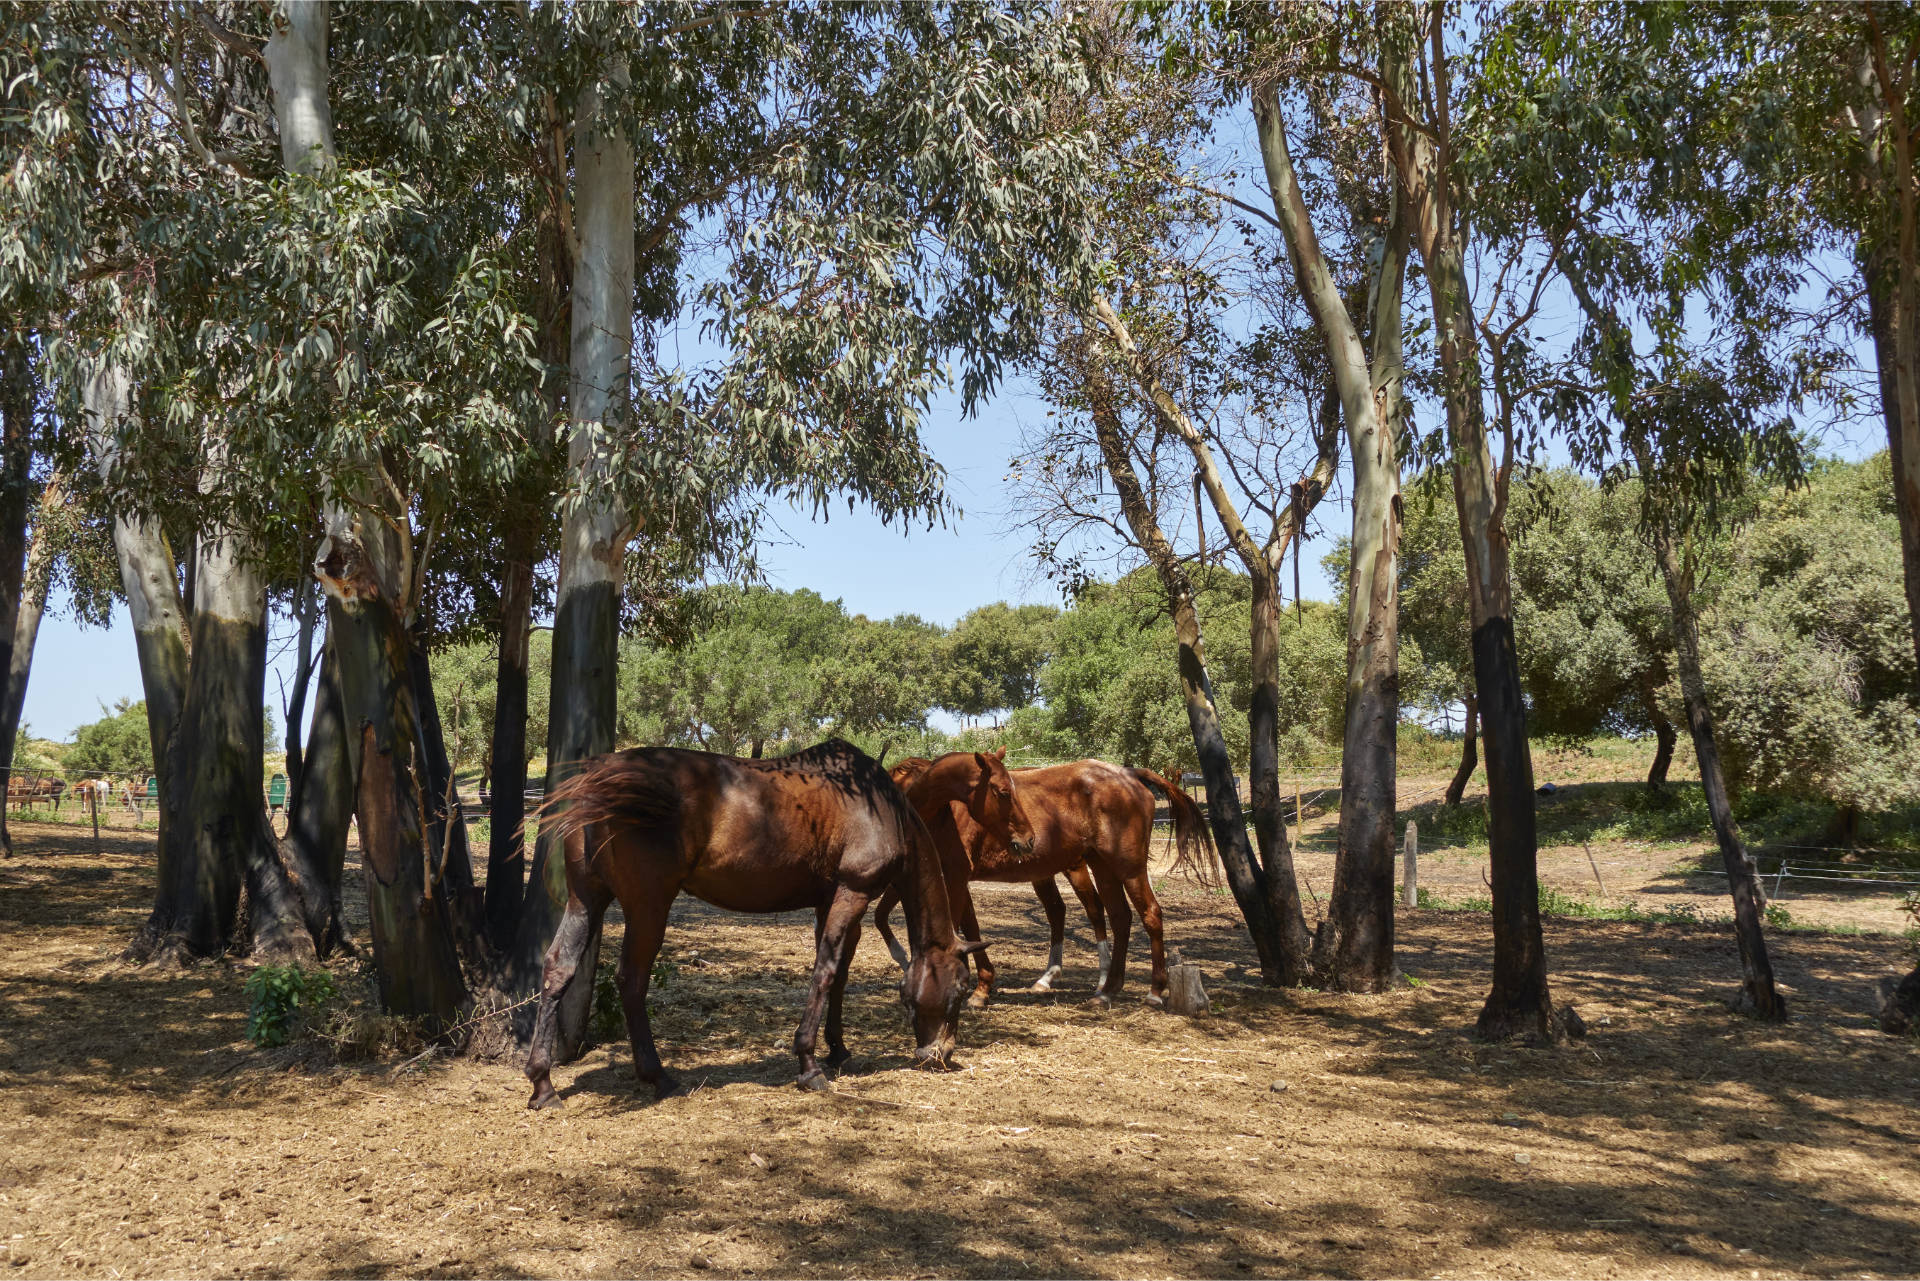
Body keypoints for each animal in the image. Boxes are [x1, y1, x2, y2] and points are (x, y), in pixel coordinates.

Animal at [529, 737, 990, 1106]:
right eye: (961, 989)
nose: (941, 1054)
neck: (877, 806)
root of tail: (600, 776)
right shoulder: (852, 892)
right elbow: (825, 971)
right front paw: (809, 1064)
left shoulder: (829, 900)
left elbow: (838, 974)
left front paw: (837, 1050)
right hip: (648, 905)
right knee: (631, 979)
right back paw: (658, 1076)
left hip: (586, 899)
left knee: (558, 968)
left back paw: (542, 1083)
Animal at [875, 760, 1205, 1014]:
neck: (942, 808)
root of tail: (1129, 774)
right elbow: (965, 928)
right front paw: (979, 987)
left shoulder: (954, 876)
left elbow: (957, 929)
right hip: (1101, 867)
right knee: (1119, 917)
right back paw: (1106, 989)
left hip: (1127, 867)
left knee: (1148, 914)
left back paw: (1153, 991)